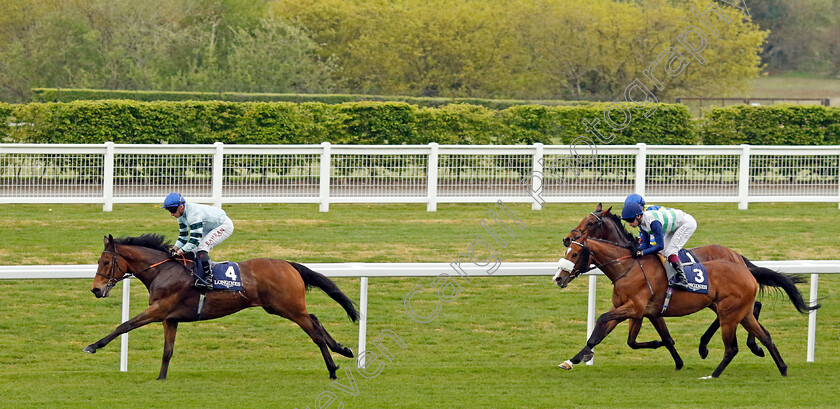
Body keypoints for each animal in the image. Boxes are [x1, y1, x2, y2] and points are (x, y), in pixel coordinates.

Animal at [85, 234, 358, 380]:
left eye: (106, 261)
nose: (96, 289)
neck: (163, 270)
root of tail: (288, 264)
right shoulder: (170, 318)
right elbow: (167, 351)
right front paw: (161, 378)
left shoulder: (159, 310)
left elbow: (124, 325)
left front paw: (92, 346)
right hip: (280, 307)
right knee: (315, 319)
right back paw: (343, 349)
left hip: (288, 307)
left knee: (314, 331)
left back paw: (333, 368)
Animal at [560, 202, 812, 358]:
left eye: (590, 223)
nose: (567, 238)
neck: (629, 261)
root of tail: (736, 255)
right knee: (751, 308)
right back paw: (745, 345)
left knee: (748, 308)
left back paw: (728, 346)